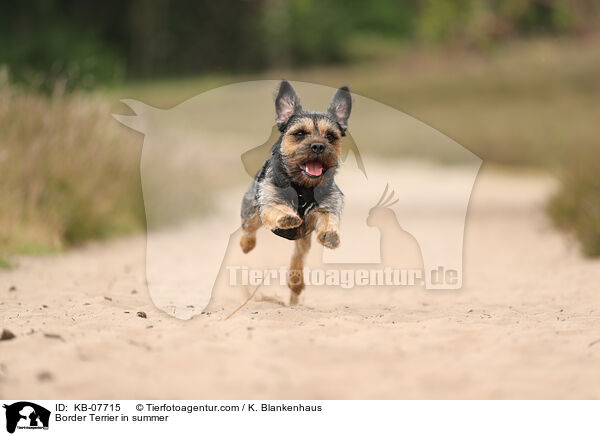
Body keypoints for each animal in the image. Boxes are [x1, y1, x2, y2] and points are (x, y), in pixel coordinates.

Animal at [240, 80, 352, 304]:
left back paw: (296, 283)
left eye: (331, 136)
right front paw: (287, 217)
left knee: (297, 259)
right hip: (252, 211)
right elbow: (277, 208)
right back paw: (246, 244)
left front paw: (330, 235)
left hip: (302, 242)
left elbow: (329, 218)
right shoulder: (269, 201)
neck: (303, 187)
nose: (318, 146)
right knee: (248, 228)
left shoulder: (327, 206)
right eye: (300, 133)